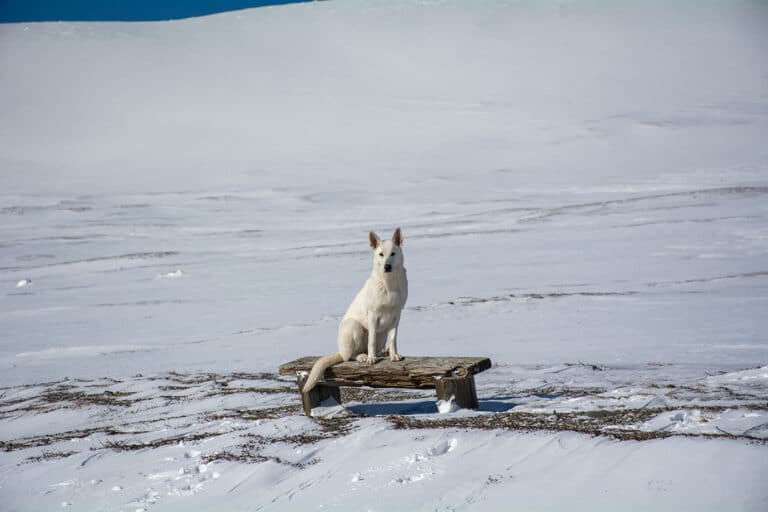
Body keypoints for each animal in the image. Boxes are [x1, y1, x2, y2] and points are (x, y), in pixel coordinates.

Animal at [302, 227, 408, 392]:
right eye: (381, 254)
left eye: (393, 253)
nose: (387, 266)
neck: (389, 284)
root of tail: (340, 351)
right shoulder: (373, 315)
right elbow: (371, 340)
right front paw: (371, 358)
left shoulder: (397, 315)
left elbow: (393, 339)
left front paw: (394, 355)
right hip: (353, 326)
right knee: (350, 356)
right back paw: (363, 356)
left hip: (382, 333)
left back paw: (382, 353)